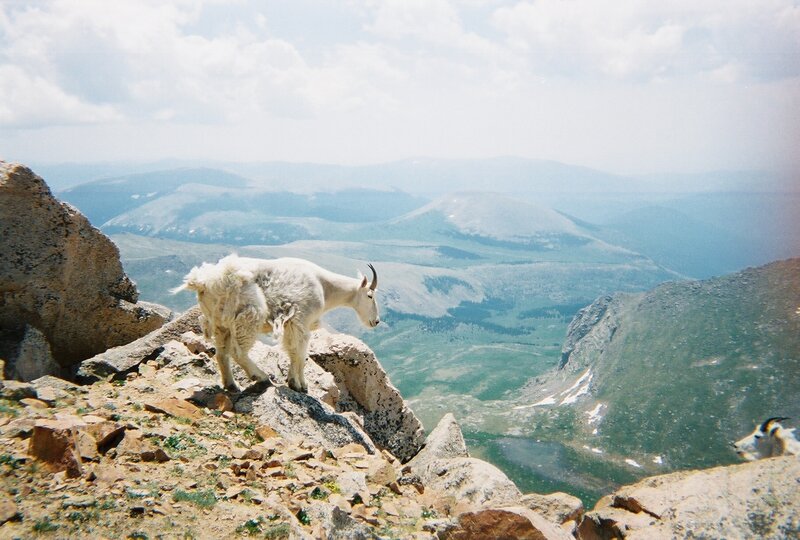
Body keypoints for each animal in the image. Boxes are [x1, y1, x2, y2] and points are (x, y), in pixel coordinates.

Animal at [173, 254, 380, 392]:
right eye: (370, 295)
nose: (376, 321)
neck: (324, 286)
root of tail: (202, 282)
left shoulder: (291, 325)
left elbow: (292, 351)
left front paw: (293, 381)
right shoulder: (301, 322)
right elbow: (300, 353)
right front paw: (301, 385)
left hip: (220, 322)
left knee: (222, 353)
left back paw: (232, 385)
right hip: (248, 317)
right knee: (237, 352)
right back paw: (261, 377)